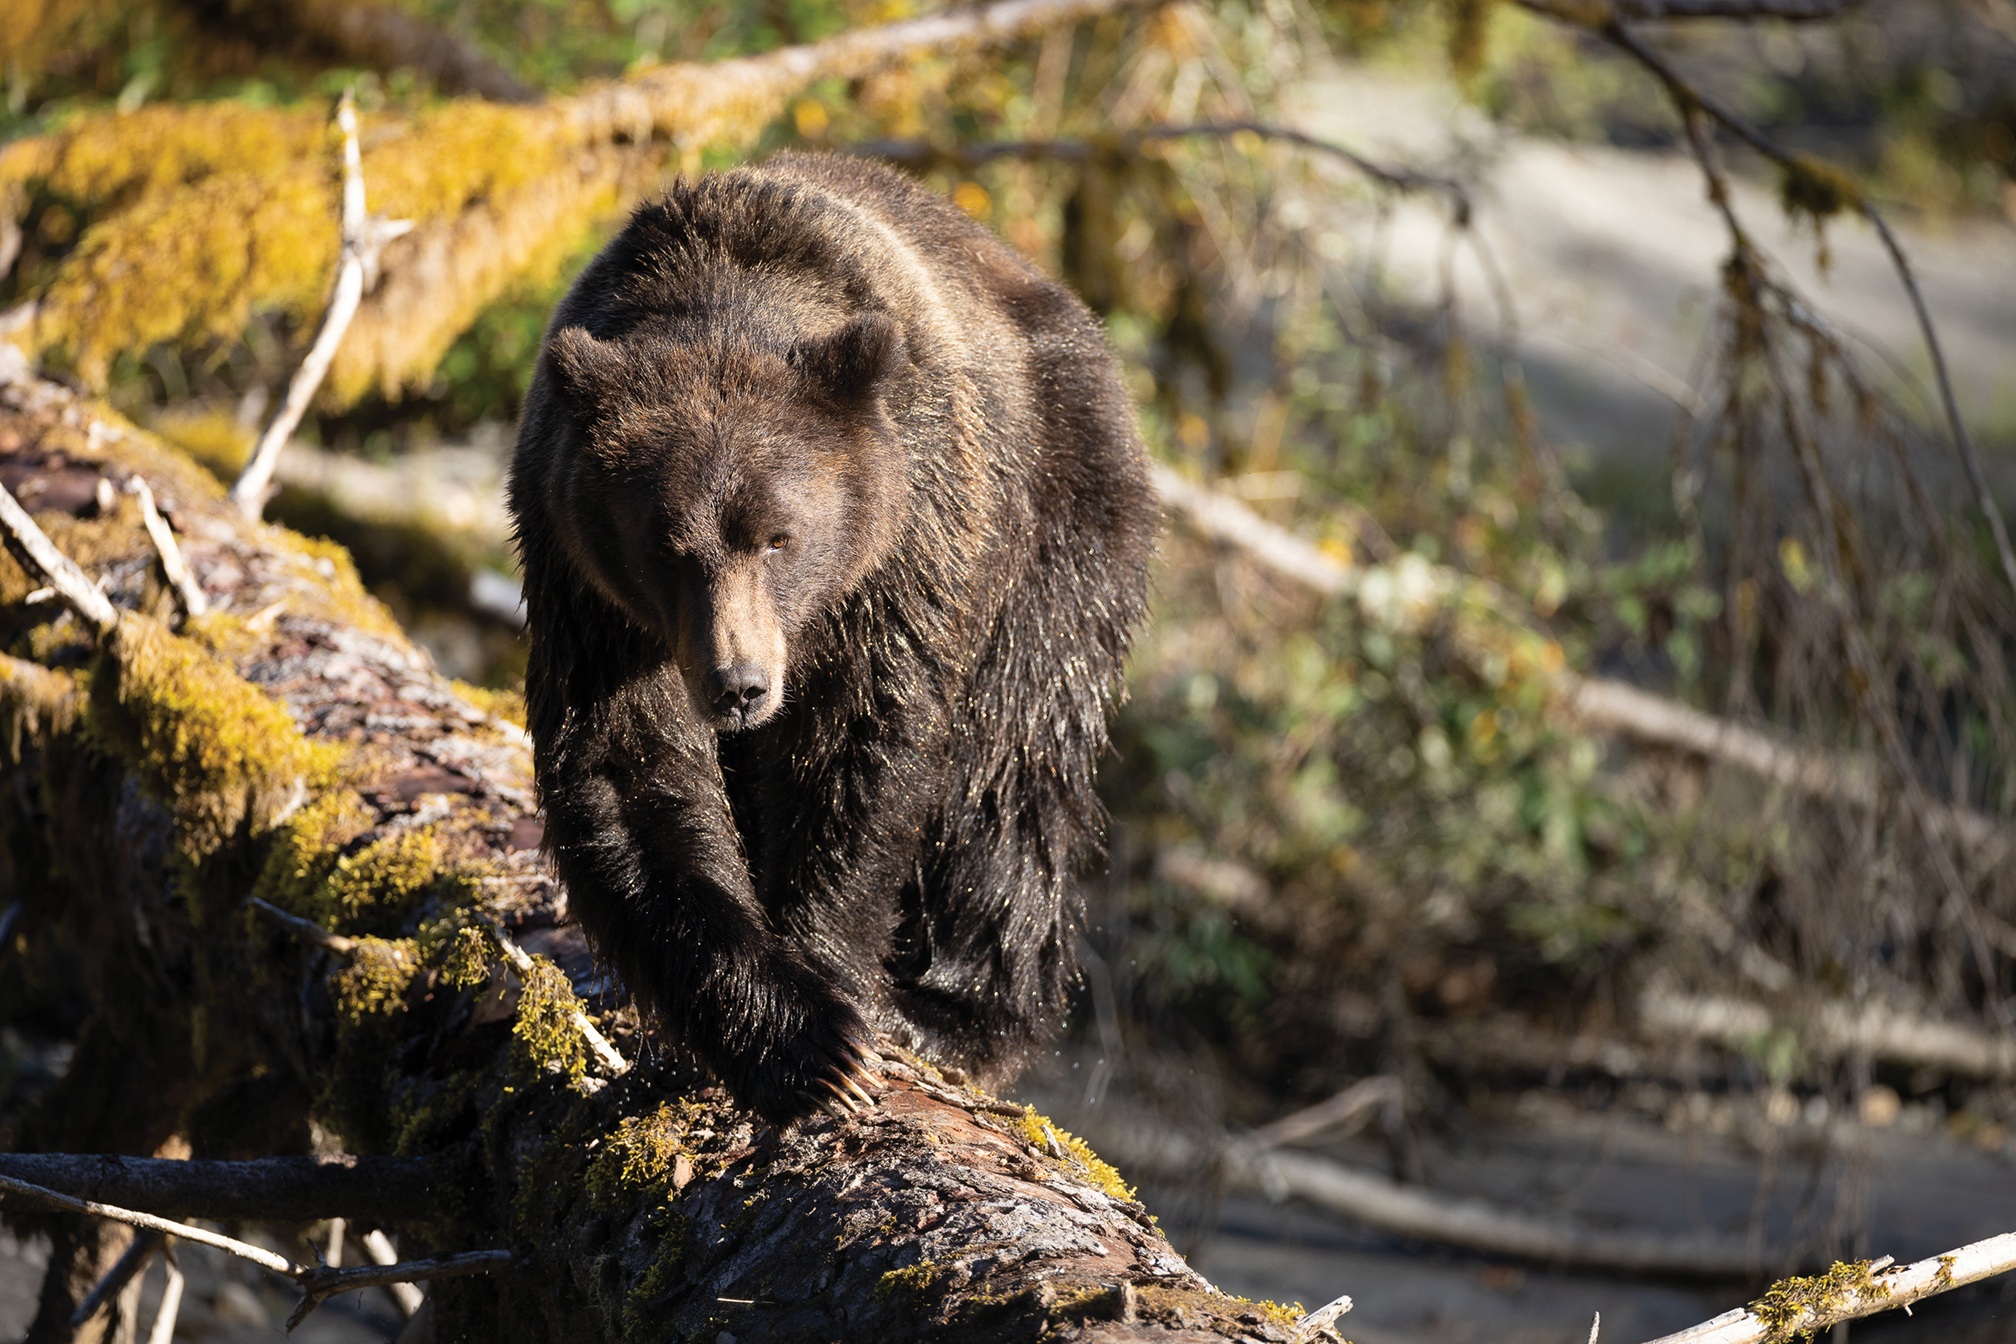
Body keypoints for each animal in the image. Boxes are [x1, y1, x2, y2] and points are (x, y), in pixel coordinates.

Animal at [506, 151, 1156, 1124]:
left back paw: (957, 1011)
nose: (739, 683)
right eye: (666, 546)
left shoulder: (906, 545)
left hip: (1060, 522)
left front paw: (840, 998)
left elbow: (859, 753)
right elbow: (630, 771)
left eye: (780, 537)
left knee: (1014, 768)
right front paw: (793, 1041)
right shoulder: (586, 585)